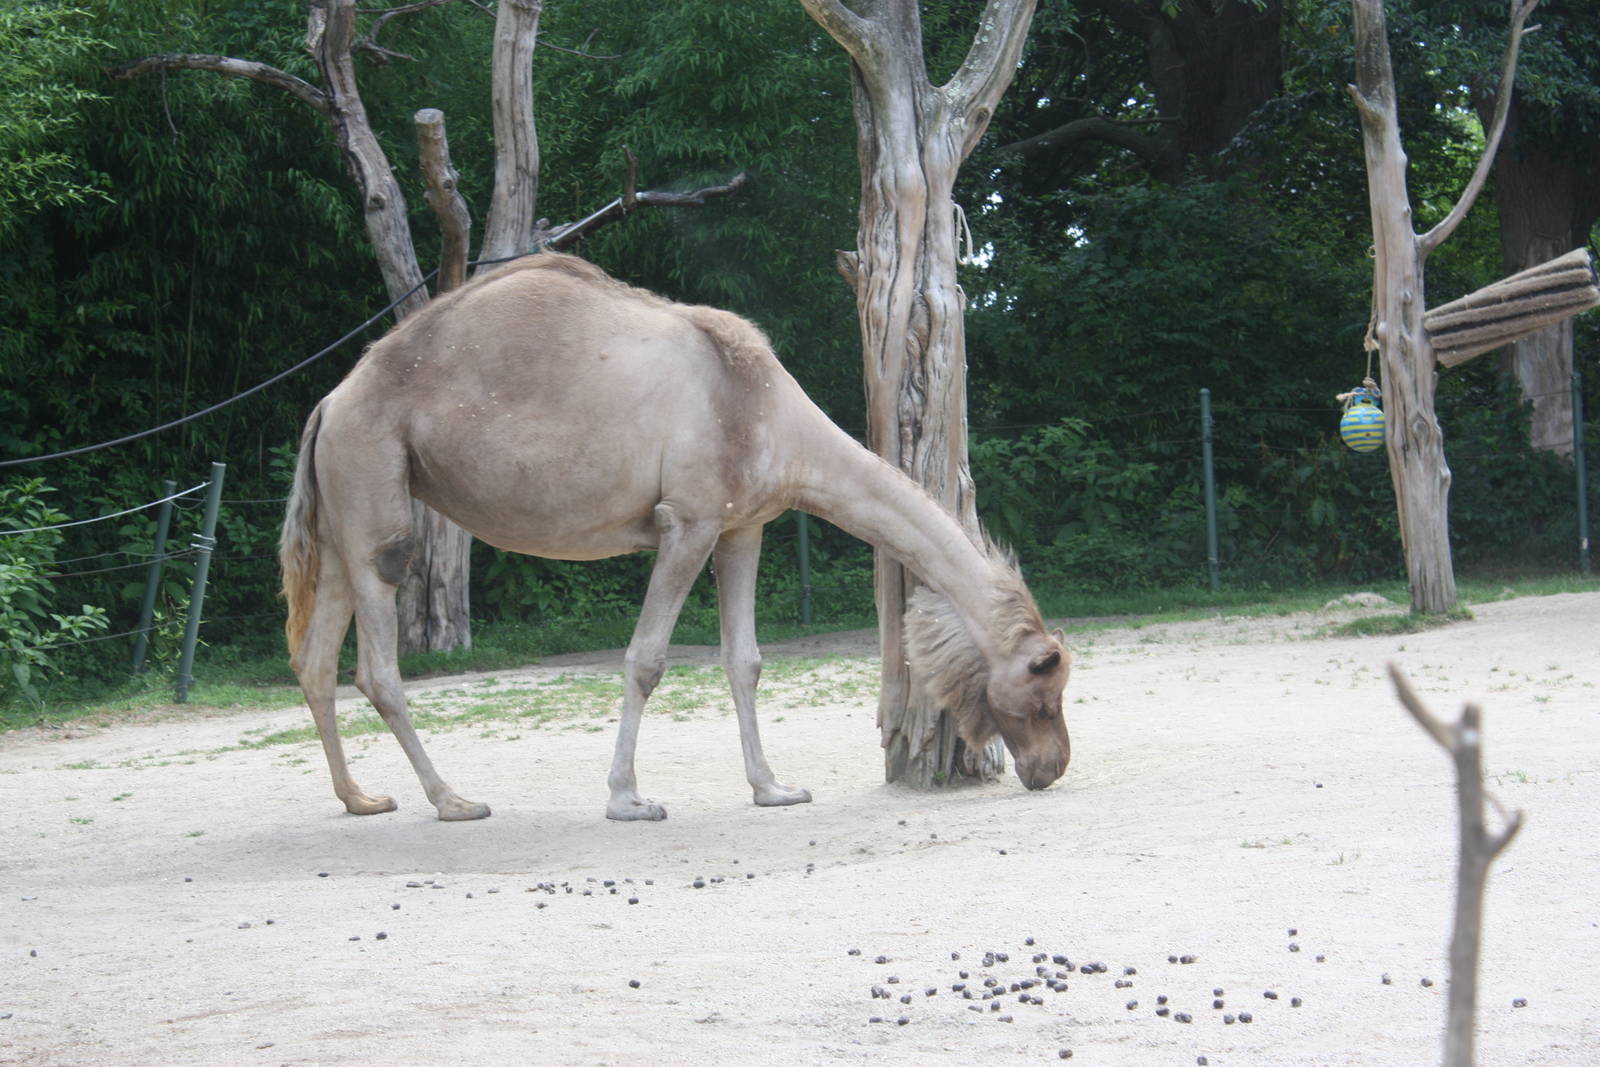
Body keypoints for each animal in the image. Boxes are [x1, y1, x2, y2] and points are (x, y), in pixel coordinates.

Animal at [279, 253, 1071, 822]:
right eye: (1046, 684)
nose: (1054, 765)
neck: (765, 411)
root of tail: (327, 403)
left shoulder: (744, 524)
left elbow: (745, 660)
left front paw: (774, 789)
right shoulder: (686, 520)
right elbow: (647, 659)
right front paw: (628, 799)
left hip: (348, 510)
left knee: (316, 660)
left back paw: (362, 799)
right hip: (375, 483)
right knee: (377, 665)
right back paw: (453, 800)